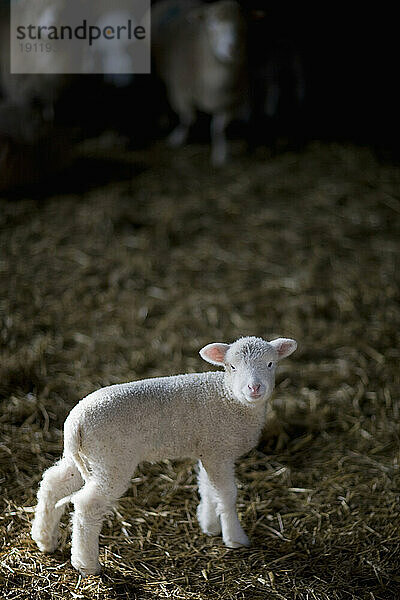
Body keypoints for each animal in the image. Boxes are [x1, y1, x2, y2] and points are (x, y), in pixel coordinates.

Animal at [32, 336, 296, 576]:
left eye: (270, 363)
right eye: (232, 366)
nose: (254, 388)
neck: (229, 397)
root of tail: (75, 423)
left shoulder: (209, 450)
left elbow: (207, 487)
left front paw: (209, 525)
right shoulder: (219, 451)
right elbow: (227, 495)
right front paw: (235, 538)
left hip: (87, 458)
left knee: (53, 482)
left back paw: (44, 539)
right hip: (112, 460)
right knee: (87, 504)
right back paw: (86, 565)